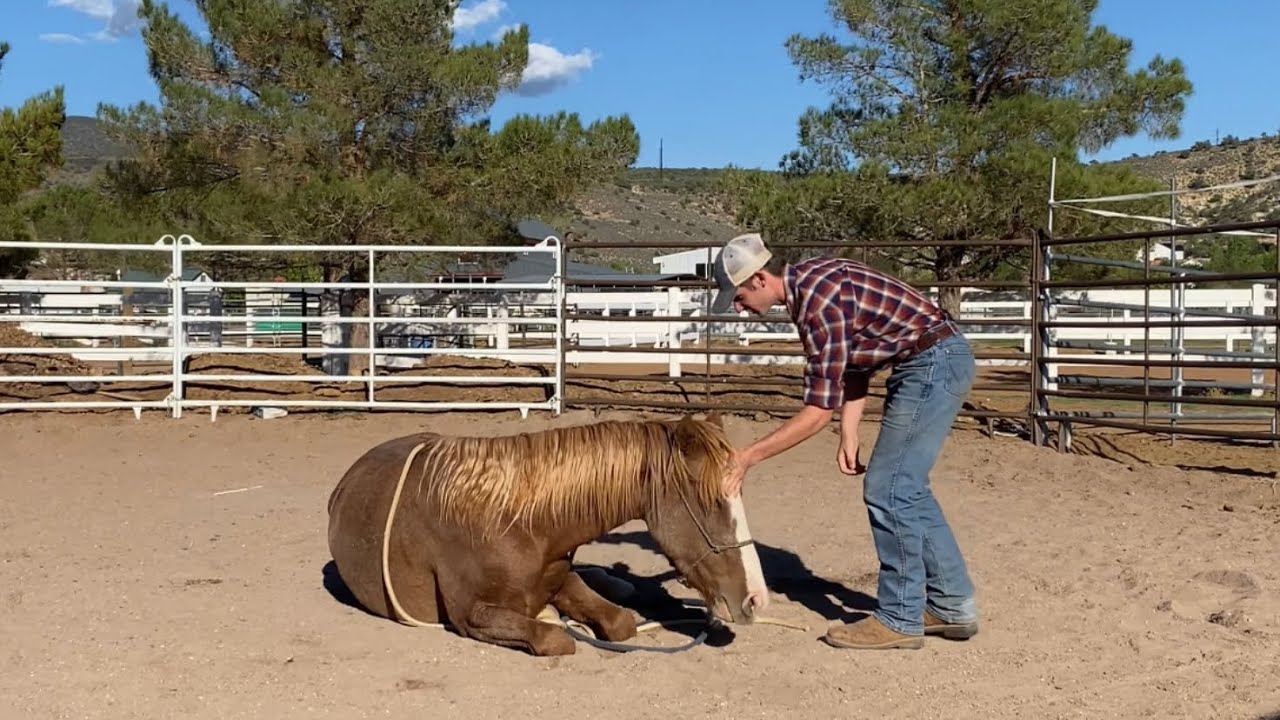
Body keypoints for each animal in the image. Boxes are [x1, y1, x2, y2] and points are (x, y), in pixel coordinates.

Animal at [324, 412, 770, 656]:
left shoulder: (560, 578)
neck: (515, 521)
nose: (755, 599)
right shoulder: (472, 615)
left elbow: (619, 621)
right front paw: (554, 621)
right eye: (712, 503)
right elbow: (557, 639)